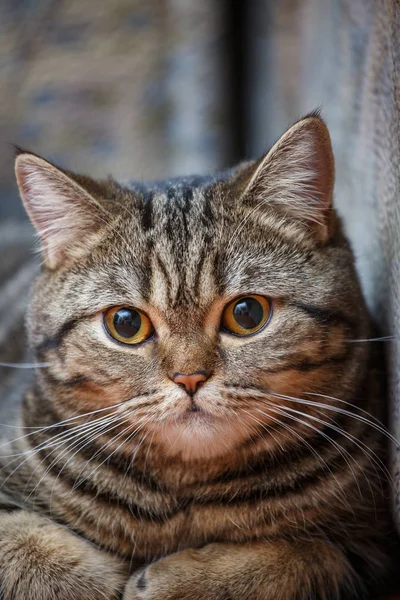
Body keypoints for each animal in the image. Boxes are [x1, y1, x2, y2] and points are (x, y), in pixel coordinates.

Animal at [0, 113, 396, 600]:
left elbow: (305, 555)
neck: (183, 499)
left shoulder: (373, 543)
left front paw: (177, 580)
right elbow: (24, 543)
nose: (189, 377)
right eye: (126, 323)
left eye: (247, 314)